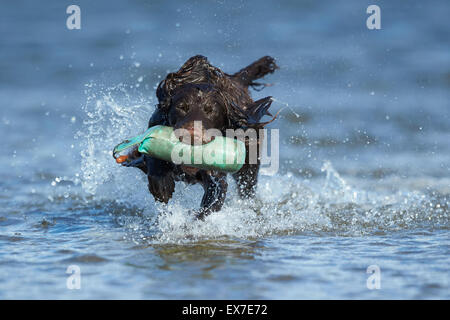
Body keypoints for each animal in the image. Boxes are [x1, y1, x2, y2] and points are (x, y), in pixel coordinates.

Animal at [123, 55, 278, 219]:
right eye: (182, 107)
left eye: (211, 111)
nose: (192, 135)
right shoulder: (155, 123)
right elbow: (152, 157)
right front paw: (161, 184)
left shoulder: (216, 178)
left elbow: (212, 201)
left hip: (249, 166)